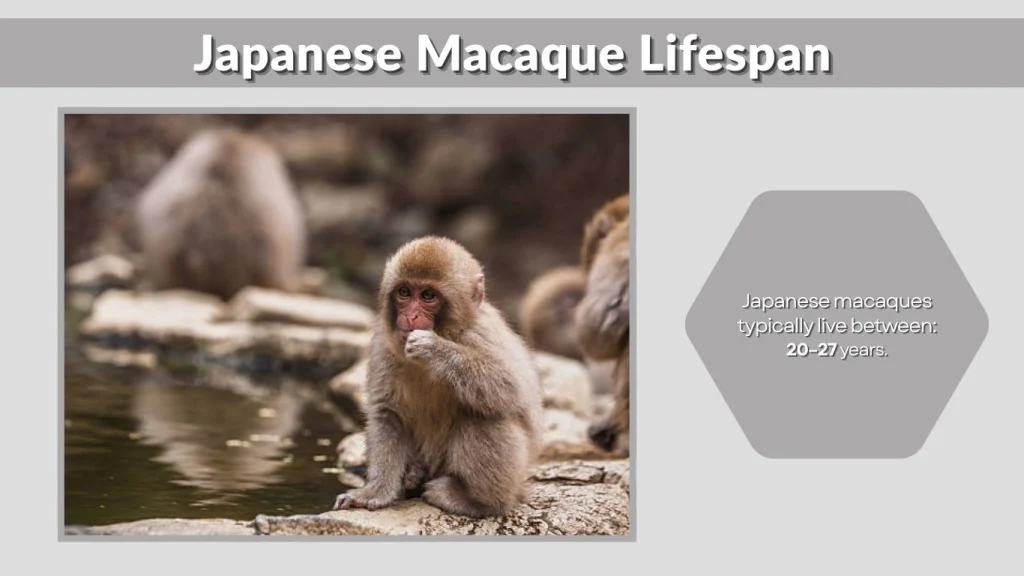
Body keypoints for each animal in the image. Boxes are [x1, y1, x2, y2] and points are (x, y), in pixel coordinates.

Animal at [332, 236, 545, 519]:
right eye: (404, 292)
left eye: (428, 295)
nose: (410, 316)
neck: (448, 331)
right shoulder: (382, 346)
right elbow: (387, 414)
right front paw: (372, 493)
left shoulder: (481, 333)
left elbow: (510, 388)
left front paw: (434, 349)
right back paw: (413, 480)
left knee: (482, 416)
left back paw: (478, 502)